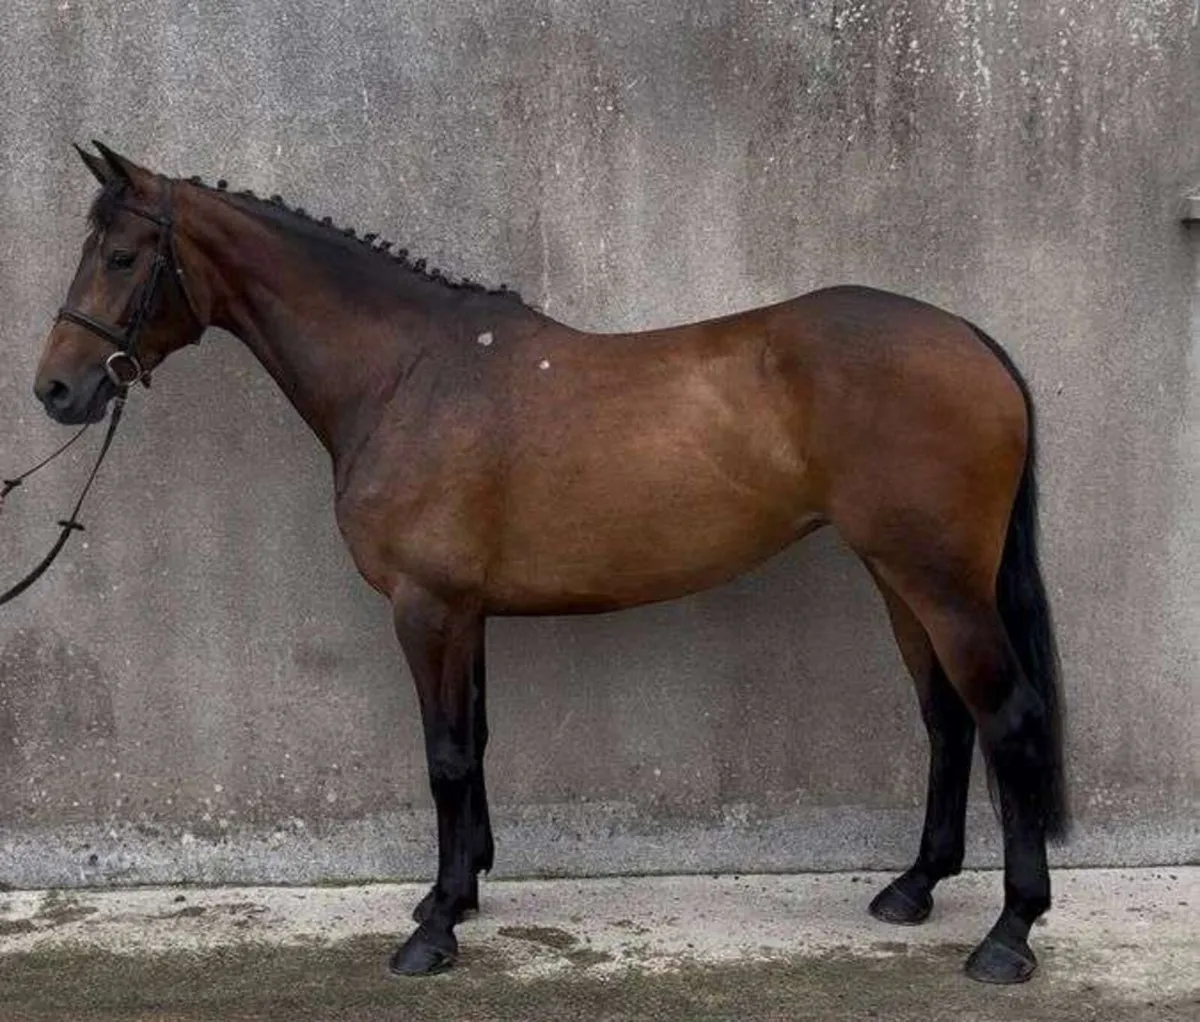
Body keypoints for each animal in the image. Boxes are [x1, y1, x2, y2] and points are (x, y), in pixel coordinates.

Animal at [29, 142, 1067, 985]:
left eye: (121, 257)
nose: (57, 390)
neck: (407, 374)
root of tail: (968, 340)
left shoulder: (427, 607)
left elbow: (445, 757)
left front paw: (434, 932)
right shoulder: (465, 611)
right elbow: (477, 744)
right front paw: (456, 892)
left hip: (940, 584)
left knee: (1008, 719)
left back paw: (1008, 935)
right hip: (899, 578)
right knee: (948, 720)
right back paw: (914, 888)